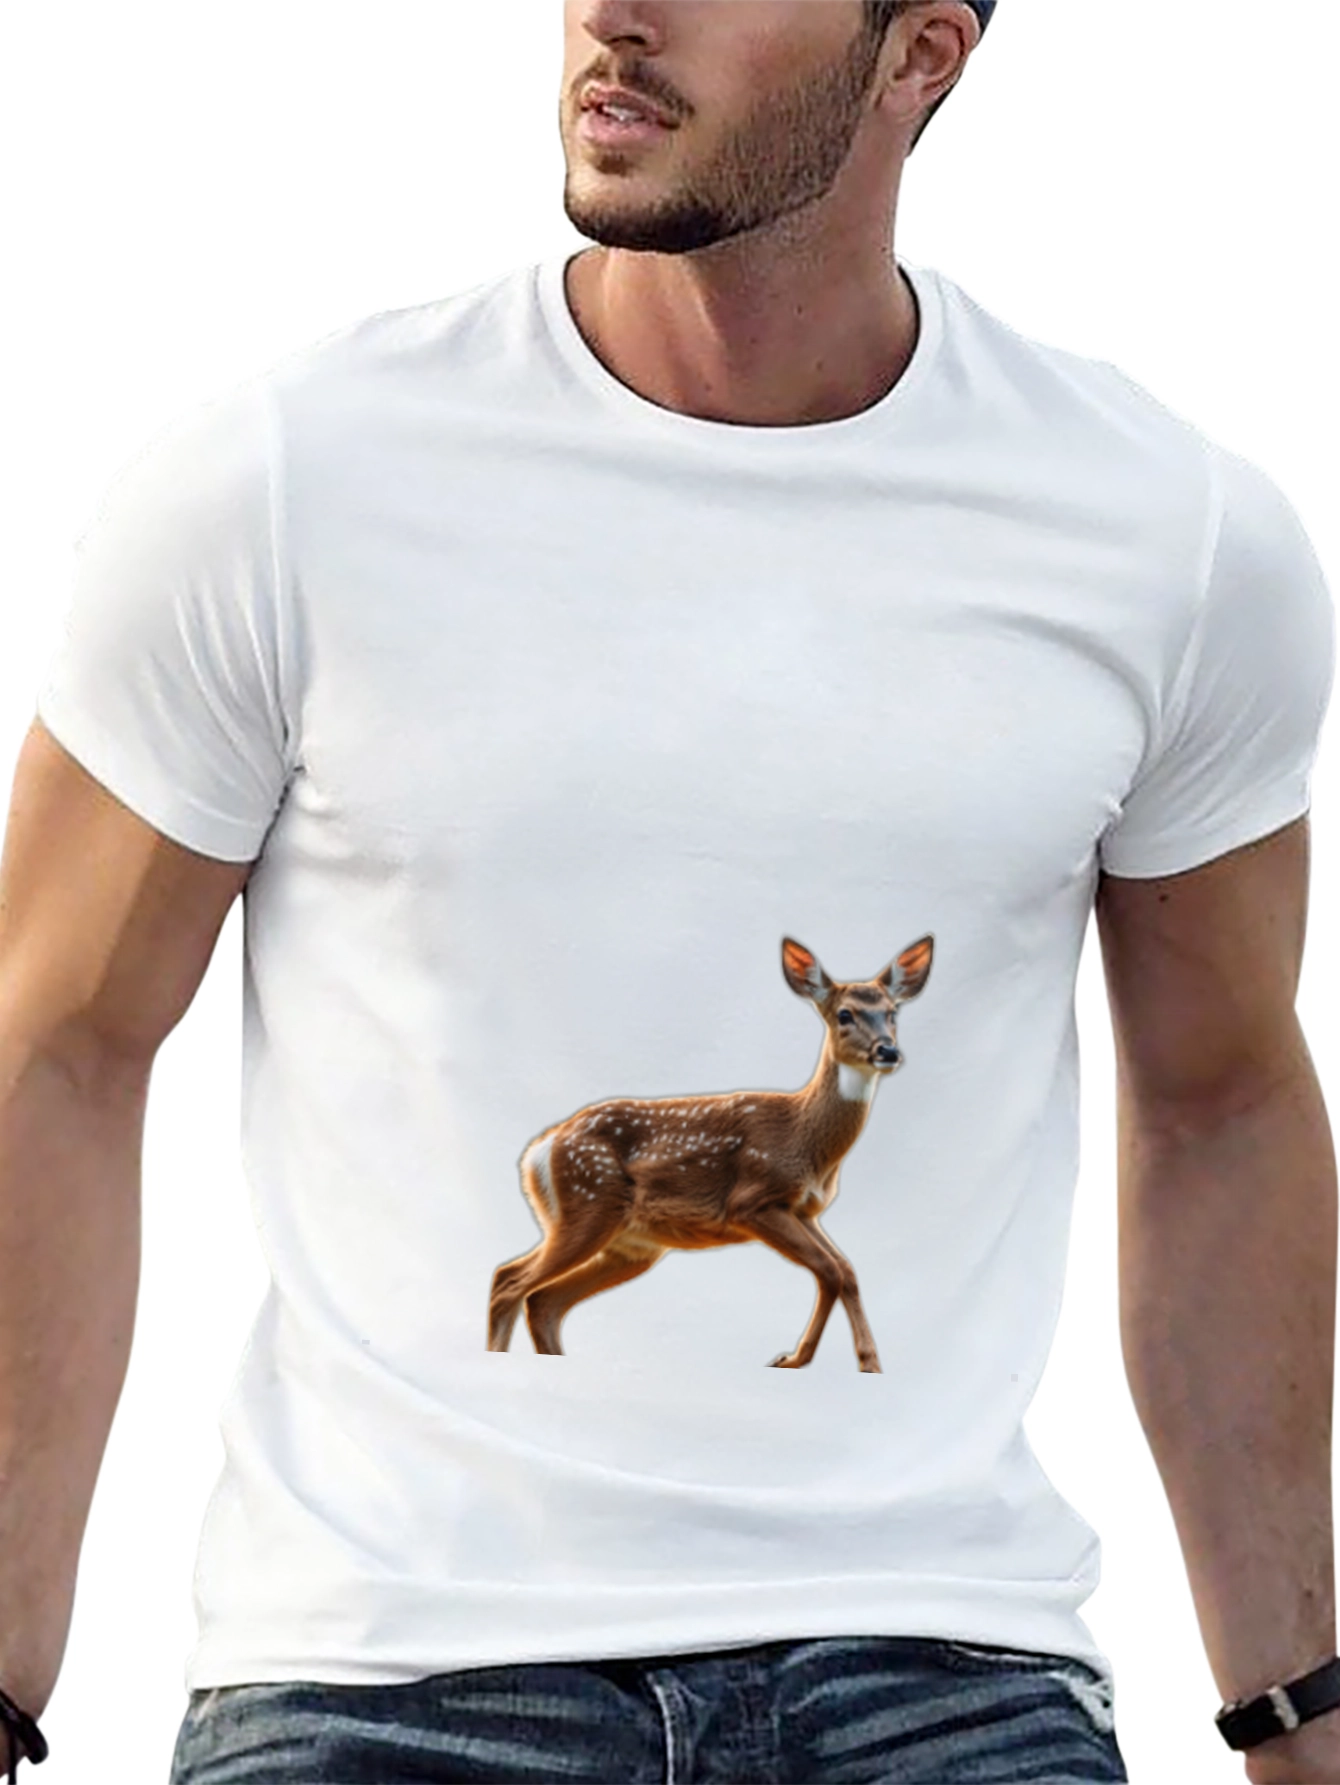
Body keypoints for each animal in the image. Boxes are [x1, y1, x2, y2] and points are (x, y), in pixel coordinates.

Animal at [485, 933, 934, 1373]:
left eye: (893, 1013)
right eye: (844, 1015)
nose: (888, 1051)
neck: (805, 1140)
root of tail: (538, 1151)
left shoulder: (805, 1211)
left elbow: (846, 1270)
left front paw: (866, 1363)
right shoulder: (753, 1201)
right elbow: (829, 1270)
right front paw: (794, 1360)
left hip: (631, 1246)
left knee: (542, 1301)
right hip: (588, 1203)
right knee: (509, 1280)